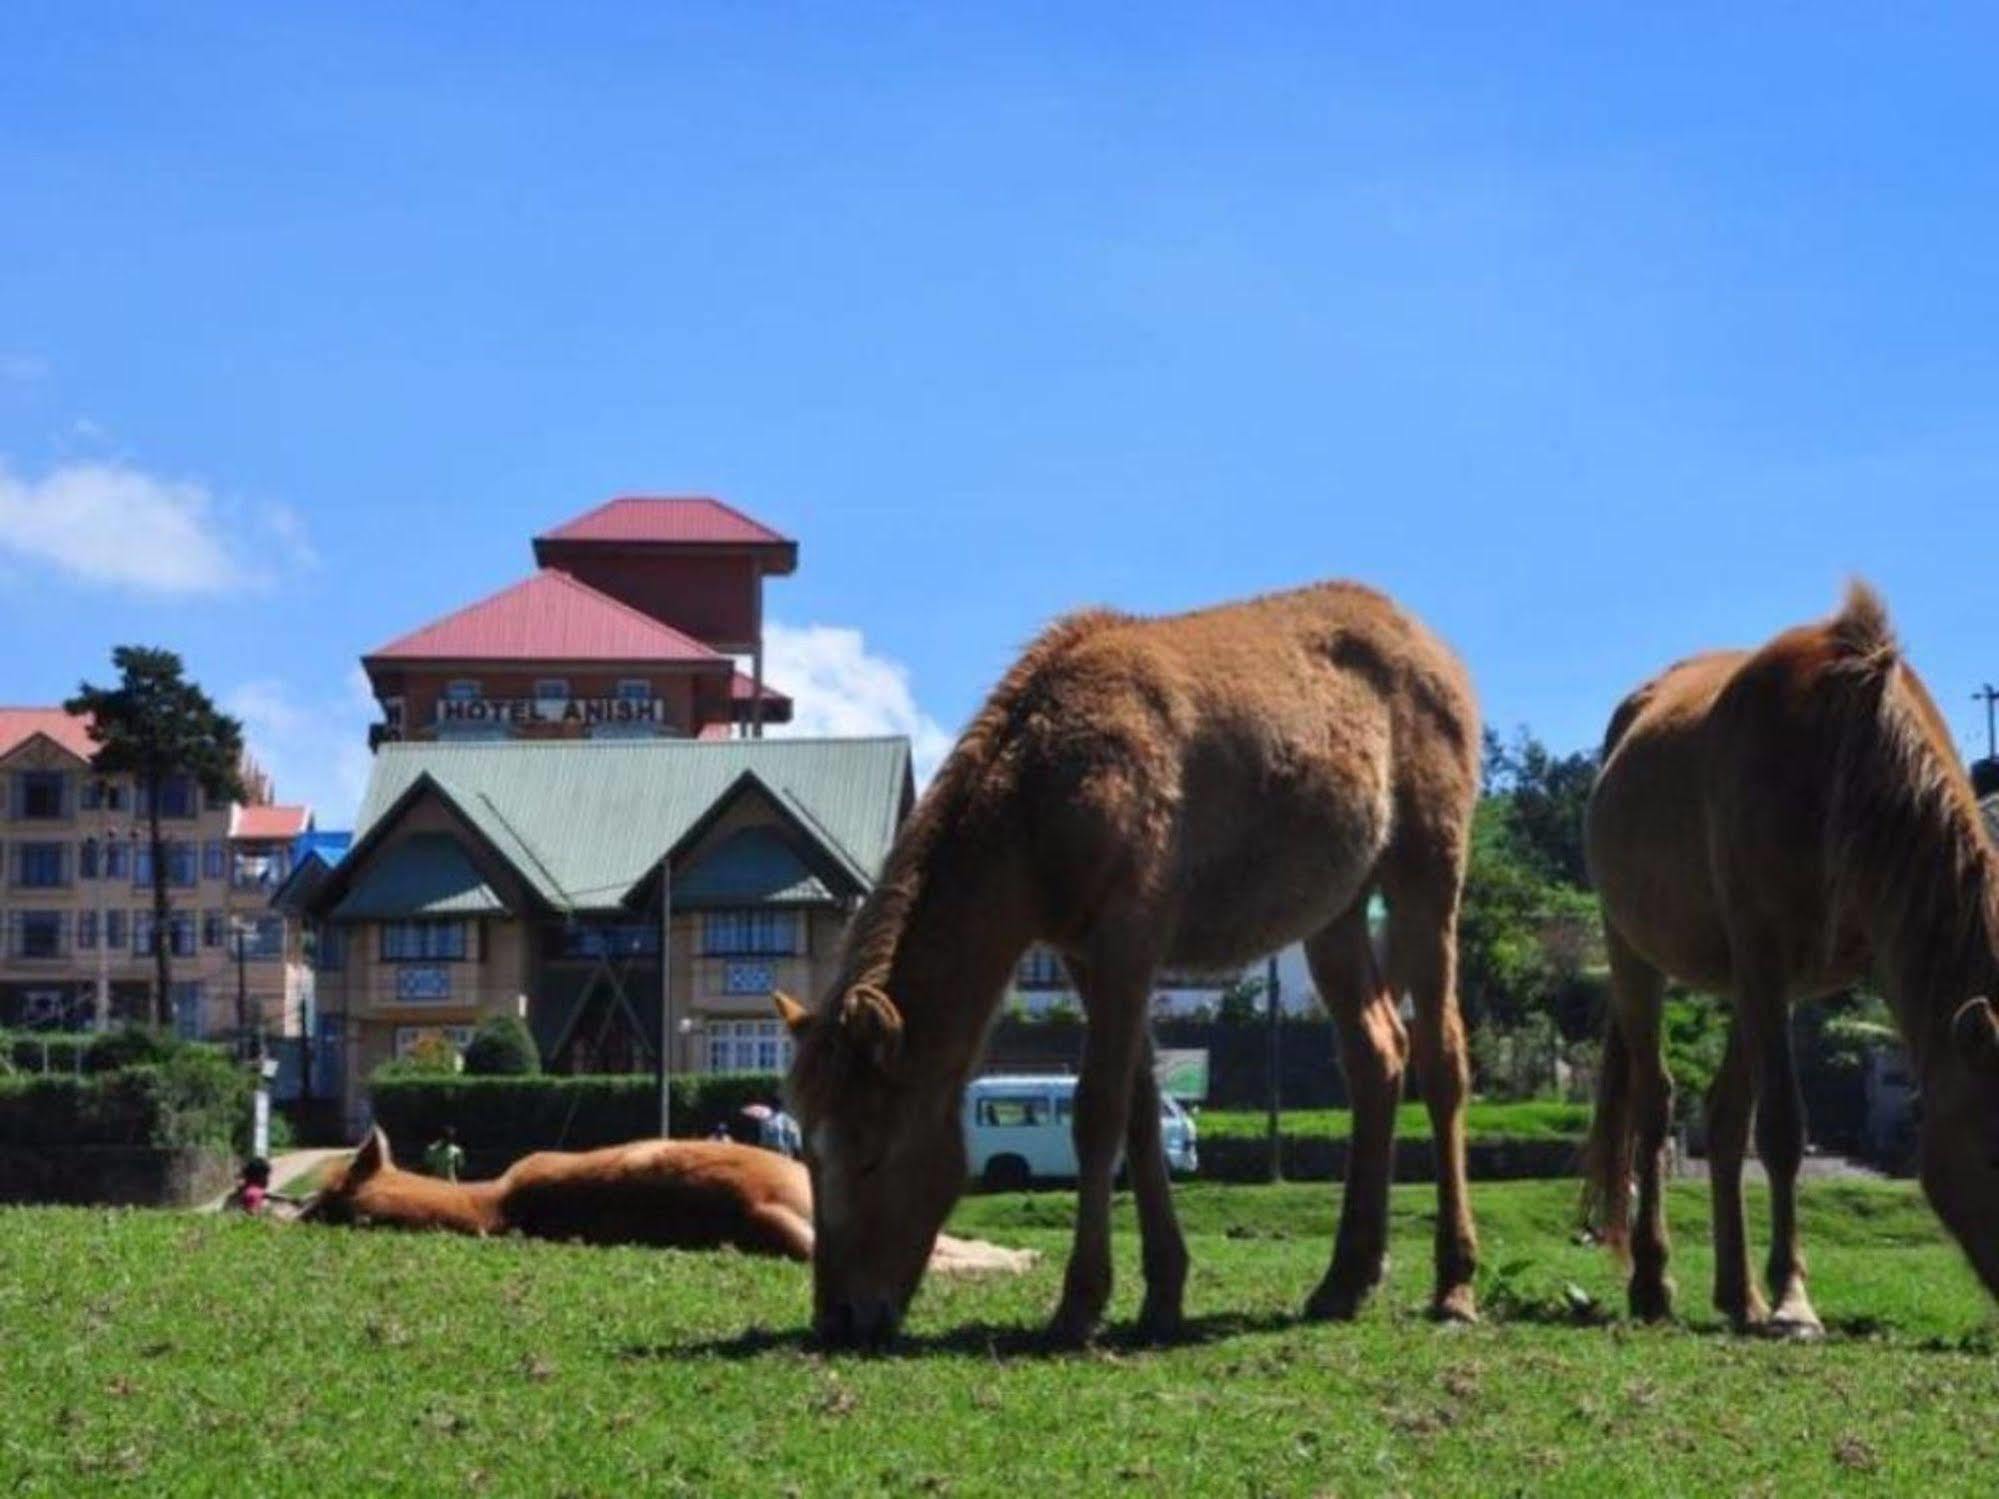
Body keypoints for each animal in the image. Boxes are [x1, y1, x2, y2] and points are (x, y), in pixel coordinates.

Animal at [1591, 583, 1999, 1335]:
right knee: (1655, 1105)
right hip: (1635, 954)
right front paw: (1792, 1299)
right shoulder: (1762, 951)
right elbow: (1783, 1127)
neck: (1843, 759)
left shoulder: (1821, 966)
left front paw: (1769, 1293)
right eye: (1991, 1151)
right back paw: (1654, 1282)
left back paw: (1736, 1294)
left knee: (1723, 1117)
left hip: (1744, 985)